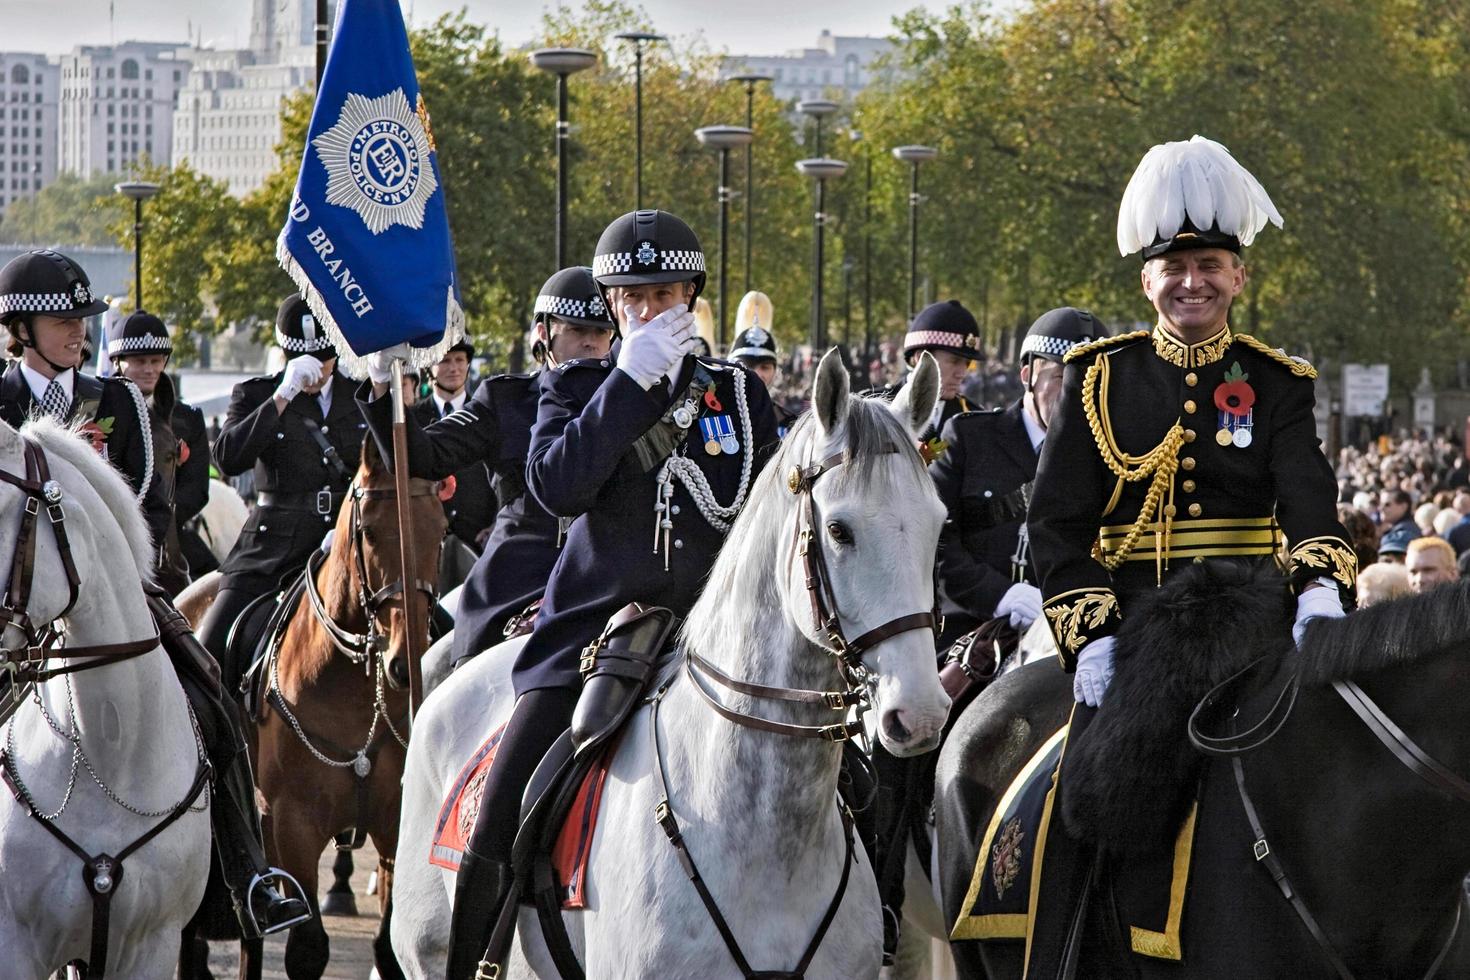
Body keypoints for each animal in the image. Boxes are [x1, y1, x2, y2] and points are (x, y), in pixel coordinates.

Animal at [177, 440, 443, 975]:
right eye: (369, 531)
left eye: (442, 530)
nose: (406, 663)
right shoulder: (295, 823)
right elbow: (307, 948)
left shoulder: (394, 821)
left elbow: (388, 946)